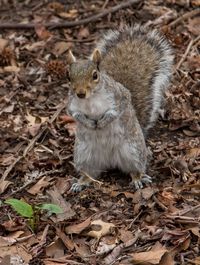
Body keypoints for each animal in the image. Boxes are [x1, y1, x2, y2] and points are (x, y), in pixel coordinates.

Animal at [66, 24, 173, 191]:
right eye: (68, 76)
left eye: (95, 75)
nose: (80, 93)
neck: (90, 100)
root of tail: (110, 161)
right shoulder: (72, 104)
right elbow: (75, 114)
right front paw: (89, 123)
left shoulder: (119, 96)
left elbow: (117, 110)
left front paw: (103, 122)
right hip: (84, 156)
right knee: (90, 173)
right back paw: (82, 181)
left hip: (133, 151)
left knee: (135, 168)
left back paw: (138, 178)